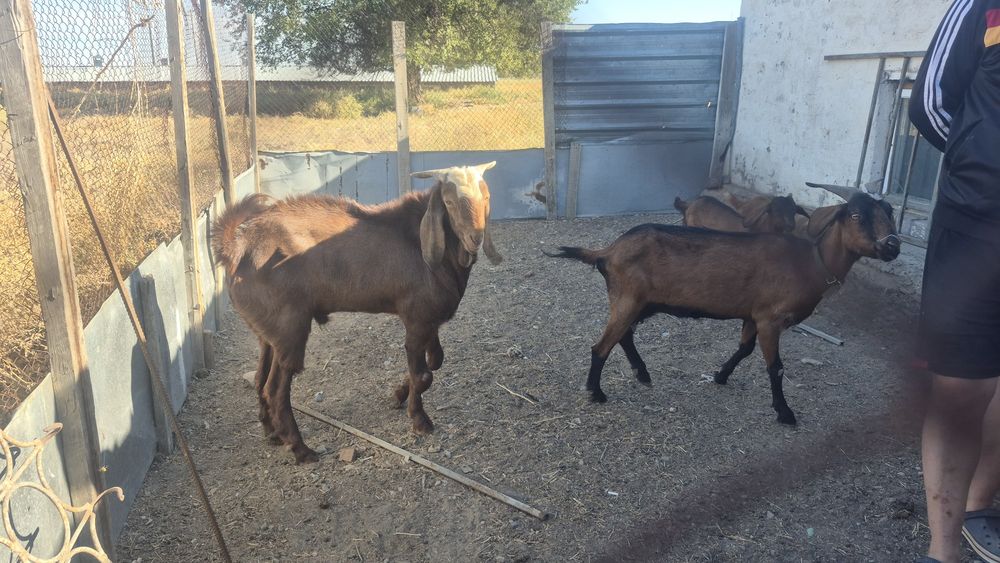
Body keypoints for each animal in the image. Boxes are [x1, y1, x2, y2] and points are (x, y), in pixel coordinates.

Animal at [212, 162, 503, 463]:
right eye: (449, 202)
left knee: (260, 377)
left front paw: (398, 394)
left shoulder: (429, 319)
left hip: (268, 331)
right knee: (275, 390)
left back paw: (271, 433)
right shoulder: (416, 318)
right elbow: (423, 374)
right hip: (290, 330)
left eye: (486, 197)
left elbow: (435, 361)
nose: (475, 238)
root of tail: (235, 249)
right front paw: (420, 420)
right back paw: (301, 449)